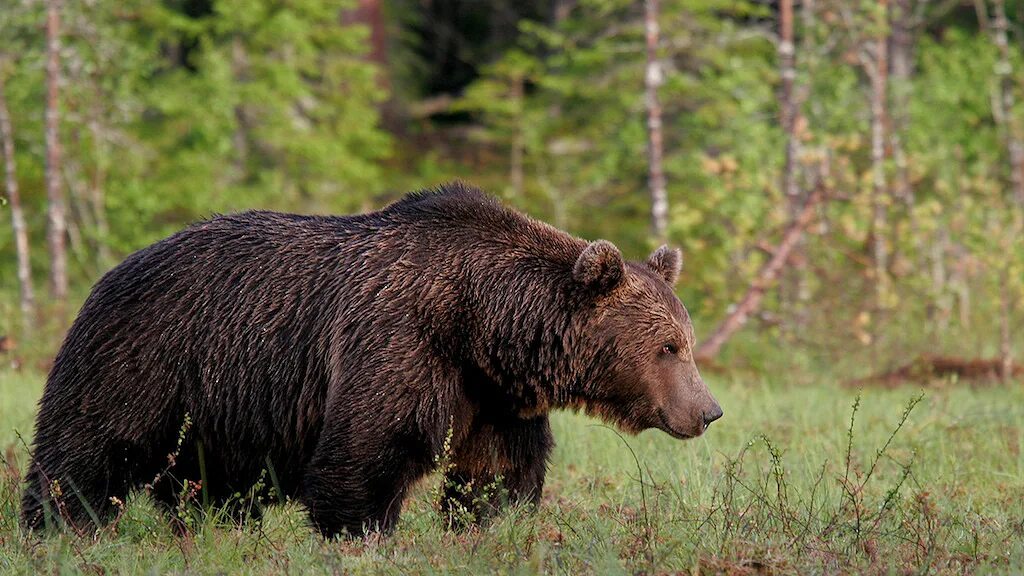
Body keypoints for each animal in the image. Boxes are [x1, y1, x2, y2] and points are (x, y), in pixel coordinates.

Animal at [22, 182, 720, 532]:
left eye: (686, 340)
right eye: (669, 347)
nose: (709, 411)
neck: (482, 323)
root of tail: (113, 270)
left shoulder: (491, 393)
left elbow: (497, 469)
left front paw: (485, 521)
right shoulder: (399, 338)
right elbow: (368, 450)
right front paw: (364, 532)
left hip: (222, 401)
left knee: (209, 481)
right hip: (146, 357)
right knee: (87, 450)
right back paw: (61, 525)